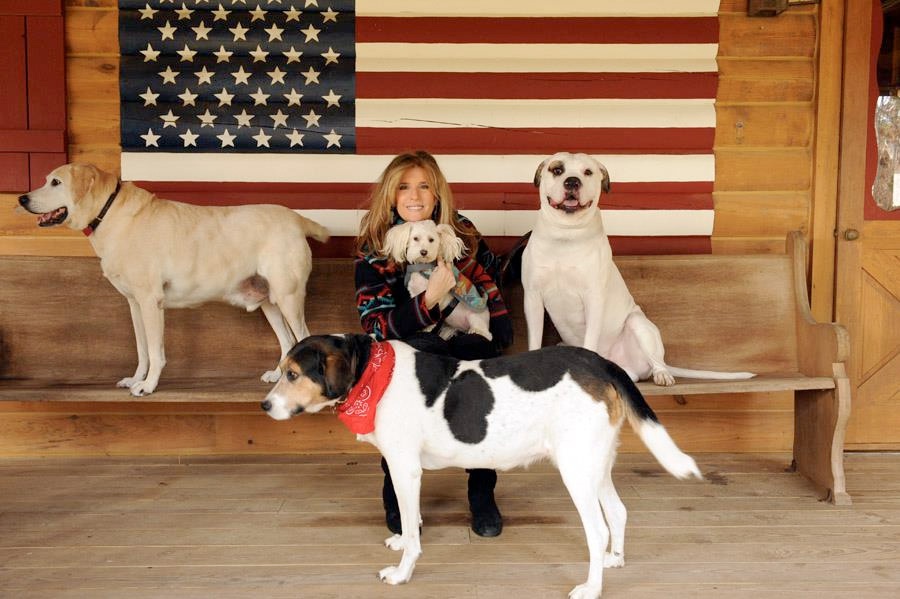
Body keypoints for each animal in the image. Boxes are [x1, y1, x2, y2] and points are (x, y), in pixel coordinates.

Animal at [16, 164, 330, 396]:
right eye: (45, 180)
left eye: (55, 182)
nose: (21, 198)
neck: (108, 213)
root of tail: (296, 218)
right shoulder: (134, 304)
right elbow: (142, 349)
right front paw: (136, 379)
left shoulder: (150, 301)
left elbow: (156, 352)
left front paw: (148, 386)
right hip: (269, 302)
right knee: (287, 341)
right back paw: (278, 376)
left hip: (288, 297)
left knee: (302, 336)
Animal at [262, 336, 704, 596]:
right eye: (282, 372)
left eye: (293, 374)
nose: (264, 406)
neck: (374, 373)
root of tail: (599, 362)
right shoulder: (407, 472)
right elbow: (410, 521)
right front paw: (403, 540)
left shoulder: (405, 468)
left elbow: (413, 531)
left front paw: (402, 572)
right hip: (595, 464)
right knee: (618, 512)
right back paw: (615, 559)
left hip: (576, 472)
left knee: (596, 530)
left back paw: (591, 587)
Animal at [520, 152, 752, 386]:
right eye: (557, 170)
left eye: (587, 172)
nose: (572, 181)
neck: (565, 235)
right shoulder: (533, 297)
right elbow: (534, 339)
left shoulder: (593, 298)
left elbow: (590, 338)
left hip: (638, 325)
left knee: (655, 361)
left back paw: (662, 374)